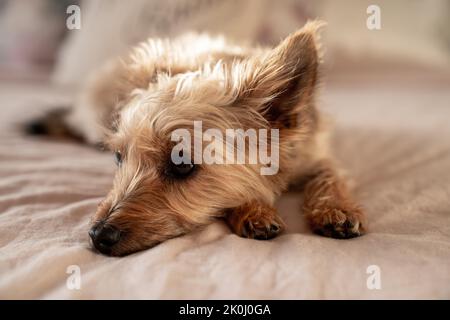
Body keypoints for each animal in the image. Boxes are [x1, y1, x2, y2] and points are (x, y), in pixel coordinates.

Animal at [26, 21, 366, 256]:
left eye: (182, 165)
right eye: (118, 157)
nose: (98, 236)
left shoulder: (316, 153)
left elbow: (330, 176)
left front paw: (337, 210)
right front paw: (253, 210)